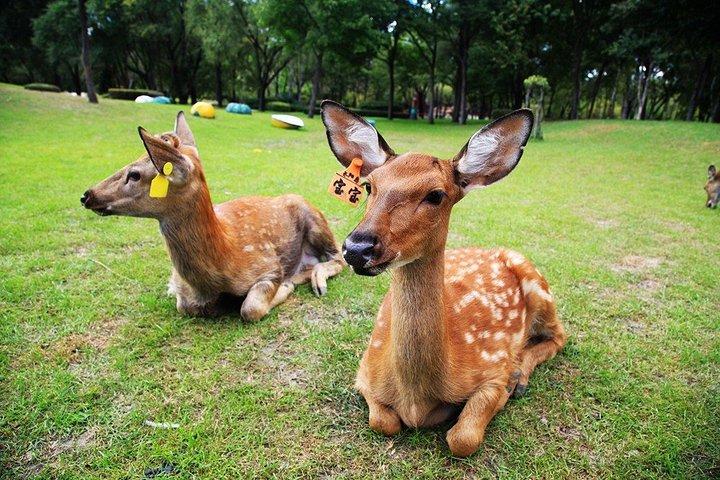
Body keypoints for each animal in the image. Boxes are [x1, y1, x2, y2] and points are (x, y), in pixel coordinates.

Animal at [81, 111, 344, 320]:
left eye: (134, 174)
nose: (87, 195)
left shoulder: (269, 264)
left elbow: (250, 308)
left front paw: (286, 286)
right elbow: (185, 305)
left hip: (315, 219)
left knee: (338, 257)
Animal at [320, 100, 567, 457]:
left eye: (435, 195)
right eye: (369, 186)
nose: (356, 248)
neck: (416, 396)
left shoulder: (491, 368)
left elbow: (463, 438)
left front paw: (509, 384)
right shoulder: (365, 370)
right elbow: (382, 421)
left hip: (538, 284)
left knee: (559, 335)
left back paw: (520, 375)